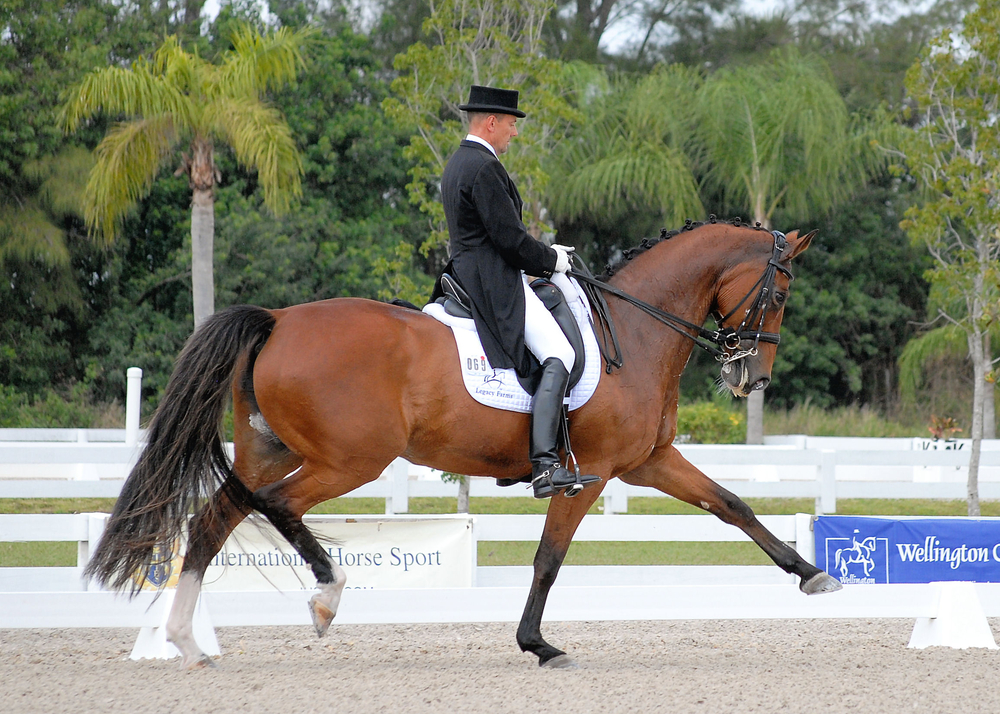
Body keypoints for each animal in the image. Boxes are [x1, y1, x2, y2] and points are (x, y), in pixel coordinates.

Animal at [85, 219, 841, 670]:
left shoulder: (649, 462)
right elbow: (548, 559)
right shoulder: (591, 473)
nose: (752, 376)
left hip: (273, 449)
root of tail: (276, 319)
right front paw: (538, 645)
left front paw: (811, 574)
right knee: (276, 505)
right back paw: (326, 597)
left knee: (218, 515)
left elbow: (733, 505)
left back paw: (188, 642)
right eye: (781, 293)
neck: (635, 328)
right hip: (350, 460)